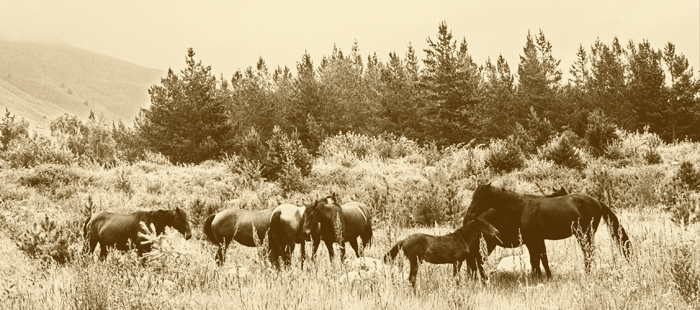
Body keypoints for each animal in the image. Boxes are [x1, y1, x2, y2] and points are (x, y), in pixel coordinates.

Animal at [464, 184, 636, 278]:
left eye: (479, 197)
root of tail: (597, 201)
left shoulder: (535, 239)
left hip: (585, 235)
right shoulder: (534, 240)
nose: (468, 214)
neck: (522, 207)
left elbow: (539, 259)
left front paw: (543, 277)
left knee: (588, 253)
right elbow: (539, 259)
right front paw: (541, 276)